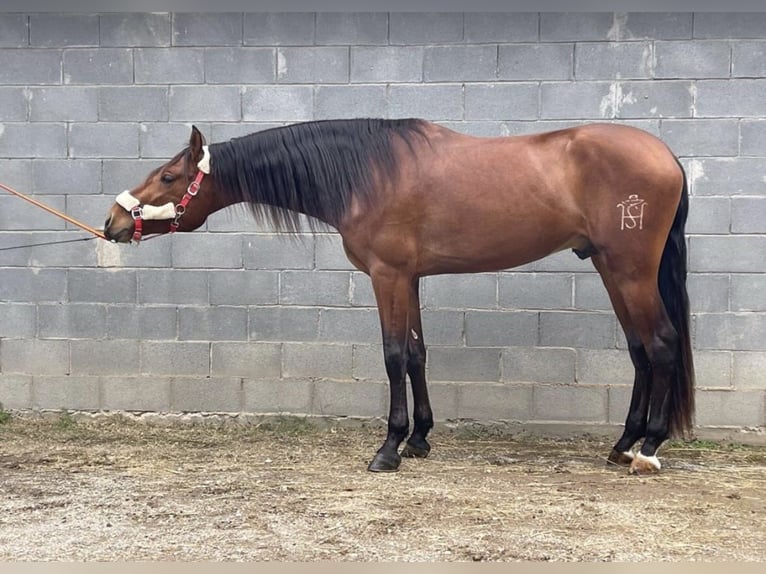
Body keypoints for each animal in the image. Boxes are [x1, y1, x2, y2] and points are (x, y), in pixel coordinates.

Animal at [103, 119, 695, 475]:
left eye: (169, 175)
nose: (113, 222)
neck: (368, 174)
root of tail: (667, 154)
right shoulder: (408, 278)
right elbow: (415, 354)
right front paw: (419, 440)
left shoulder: (386, 276)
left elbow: (391, 356)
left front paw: (388, 449)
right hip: (610, 268)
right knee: (639, 350)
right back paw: (622, 445)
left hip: (631, 271)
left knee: (662, 343)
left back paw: (648, 450)